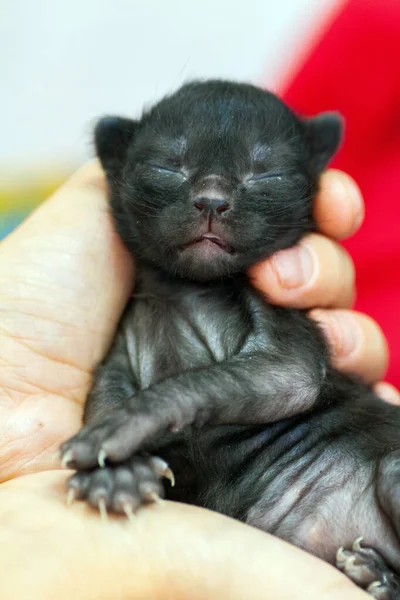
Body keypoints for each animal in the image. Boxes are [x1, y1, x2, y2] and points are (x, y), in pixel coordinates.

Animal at [61, 81, 400, 600]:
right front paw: (117, 473)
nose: (211, 201)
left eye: (267, 174)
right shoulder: (119, 348)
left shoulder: (287, 342)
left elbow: (216, 382)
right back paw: (373, 573)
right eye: (167, 165)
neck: (189, 289)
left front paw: (118, 431)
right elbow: (106, 392)